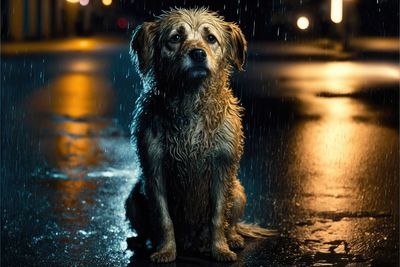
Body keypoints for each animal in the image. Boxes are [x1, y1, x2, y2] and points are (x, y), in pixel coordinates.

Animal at [126, 7, 274, 264]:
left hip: (238, 192)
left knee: (231, 223)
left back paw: (233, 238)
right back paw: (143, 241)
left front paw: (220, 249)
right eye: (176, 37)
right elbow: (163, 217)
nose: (197, 54)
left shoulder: (222, 166)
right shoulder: (154, 167)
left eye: (211, 38)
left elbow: (218, 217)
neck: (191, 102)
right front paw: (166, 250)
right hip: (133, 198)